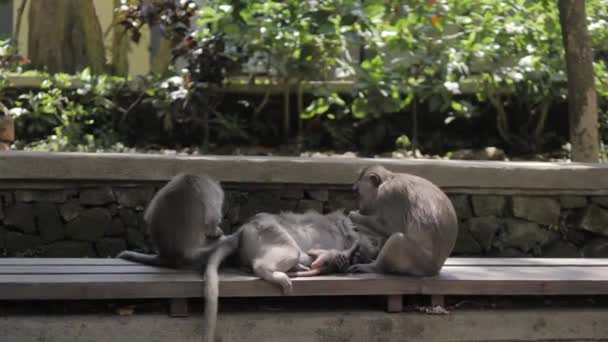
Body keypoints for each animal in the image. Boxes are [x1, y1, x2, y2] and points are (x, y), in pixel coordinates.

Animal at [202, 208, 378, 342]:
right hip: (272, 233)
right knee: (272, 260)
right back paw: (283, 275)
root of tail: (244, 229)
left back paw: (299, 267)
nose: (371, 250)